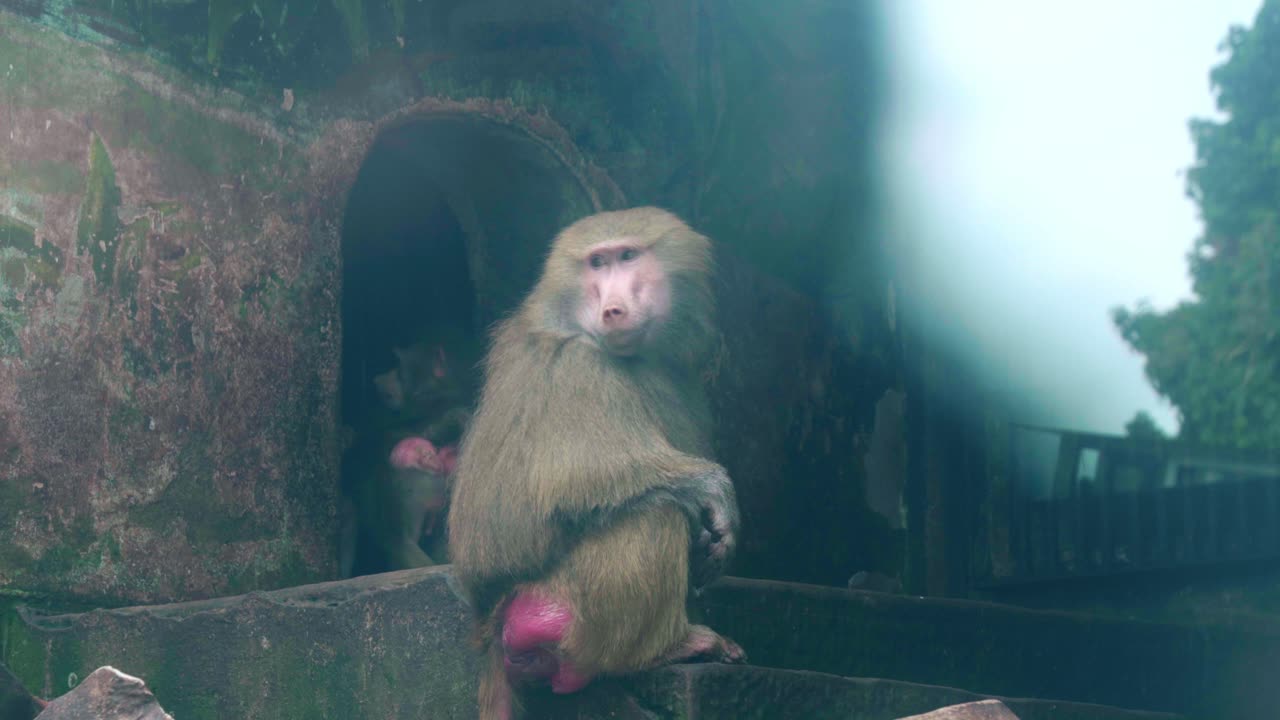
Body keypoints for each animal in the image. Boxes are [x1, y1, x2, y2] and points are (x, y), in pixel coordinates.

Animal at [447, 207, 744, 719]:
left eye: (628, 256)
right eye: (597, 263)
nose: (613, 310)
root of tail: (490, 629)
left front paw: (712, 544)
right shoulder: (579, 370)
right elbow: (573, 482)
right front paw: (714, 492)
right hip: (566, 606)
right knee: (655, 513)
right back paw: (666, 648)